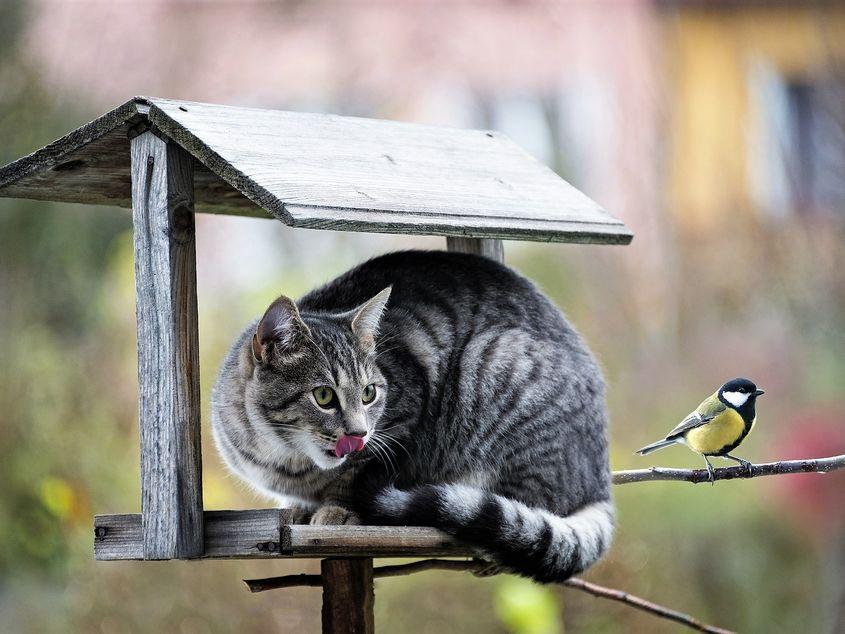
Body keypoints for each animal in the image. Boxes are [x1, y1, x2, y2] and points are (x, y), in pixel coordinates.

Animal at [208, 249, 608, 580]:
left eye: (369, 393)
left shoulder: (403, 419)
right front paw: (297, 508)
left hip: (494, 362)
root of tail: (600, 480)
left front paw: (338, 509)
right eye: (323, 396)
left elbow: (356, 475)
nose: (359, 433)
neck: (285, 459)